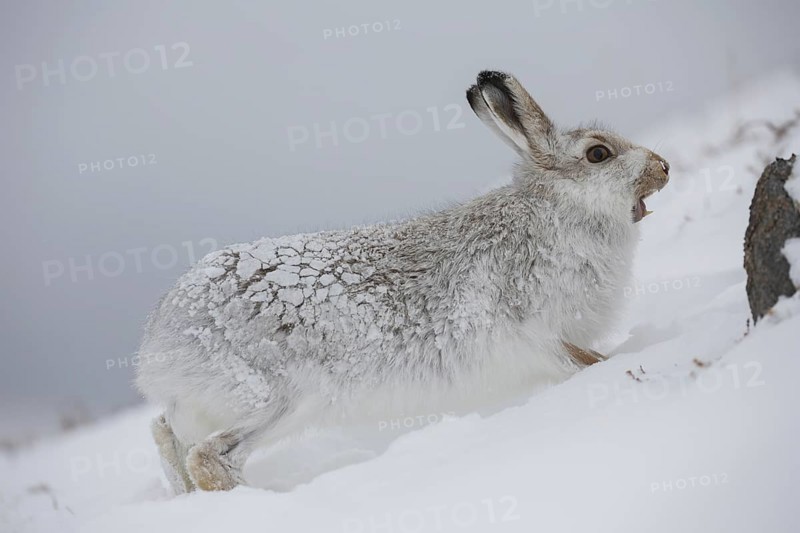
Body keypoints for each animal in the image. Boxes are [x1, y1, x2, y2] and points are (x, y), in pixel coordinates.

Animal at [136, 70, 670, 493]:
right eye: (598, 154)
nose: (664, 168)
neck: (560, 209)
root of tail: (161, 342)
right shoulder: (538, 334)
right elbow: (585, 361)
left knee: (165, 434)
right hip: (280, 399)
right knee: (208, 457)